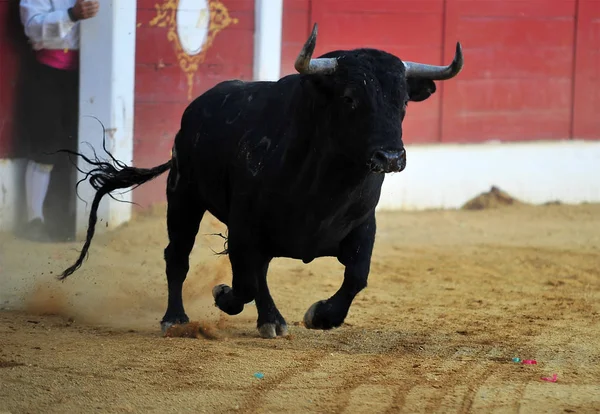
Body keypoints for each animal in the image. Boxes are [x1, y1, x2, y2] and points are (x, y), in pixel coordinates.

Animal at [59, 24, 464, 338]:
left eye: (403, 103)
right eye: (350, 98)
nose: (390, 158)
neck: (328, 184)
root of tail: (194, 110)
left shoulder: (364, 225)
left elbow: (356, 277)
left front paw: (320, 316)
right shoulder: (243, 226)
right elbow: (243, 282)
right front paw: (222, 295)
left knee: (259, 270)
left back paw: (271, 320)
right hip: (183, 195)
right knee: (178, 256)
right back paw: (175, 318)